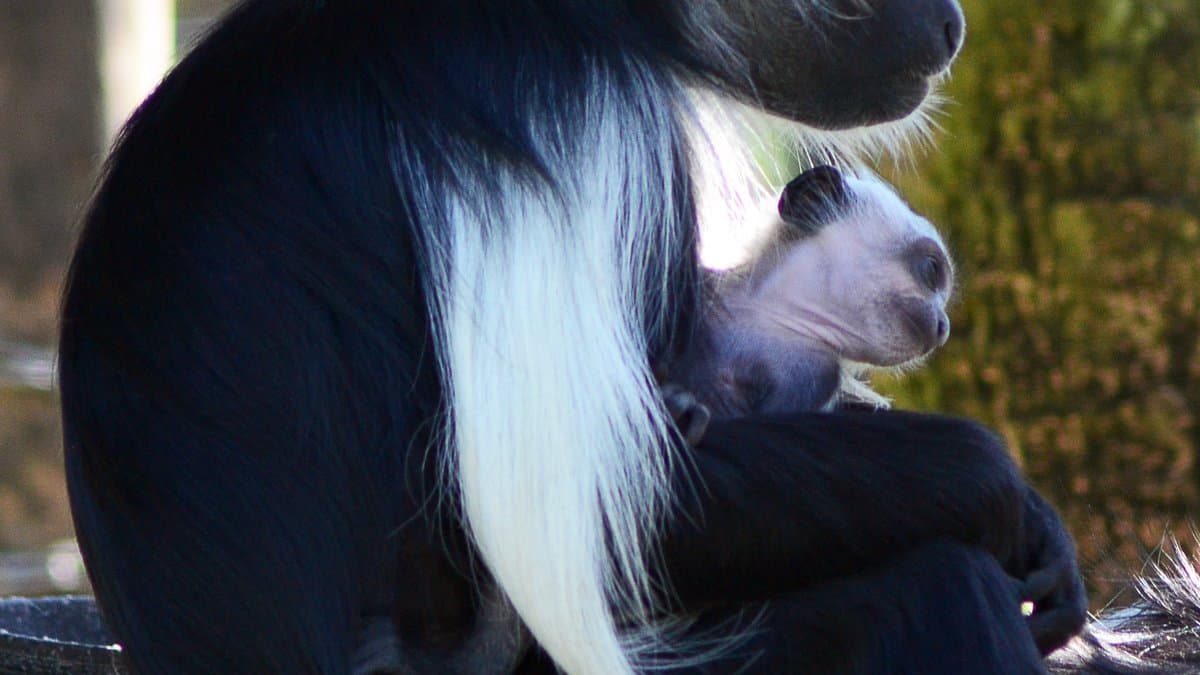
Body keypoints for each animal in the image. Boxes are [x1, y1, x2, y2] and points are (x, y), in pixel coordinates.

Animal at [57, 1, 1086, 673]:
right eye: (928, 272)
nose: (950, 24)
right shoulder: (565, 107)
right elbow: (618, 503)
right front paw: (997, 482)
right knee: (931, 585)